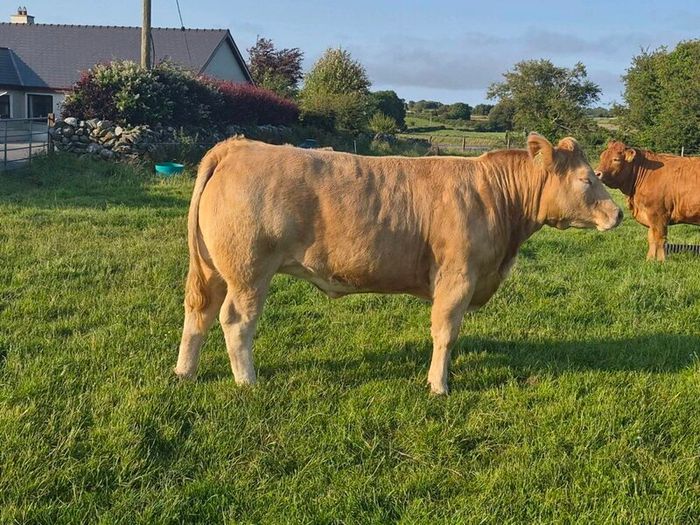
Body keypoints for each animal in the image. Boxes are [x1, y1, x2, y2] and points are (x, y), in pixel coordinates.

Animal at [174, 133, 622, 395]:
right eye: (586, 179)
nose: (617, 214)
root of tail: (238, 145)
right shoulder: (457, 277)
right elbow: (445, 333)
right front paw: (438, 385)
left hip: (214, 269)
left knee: (199, 313)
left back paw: (185, 372)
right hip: (248, 271)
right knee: (235, 321)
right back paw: (247, 382)